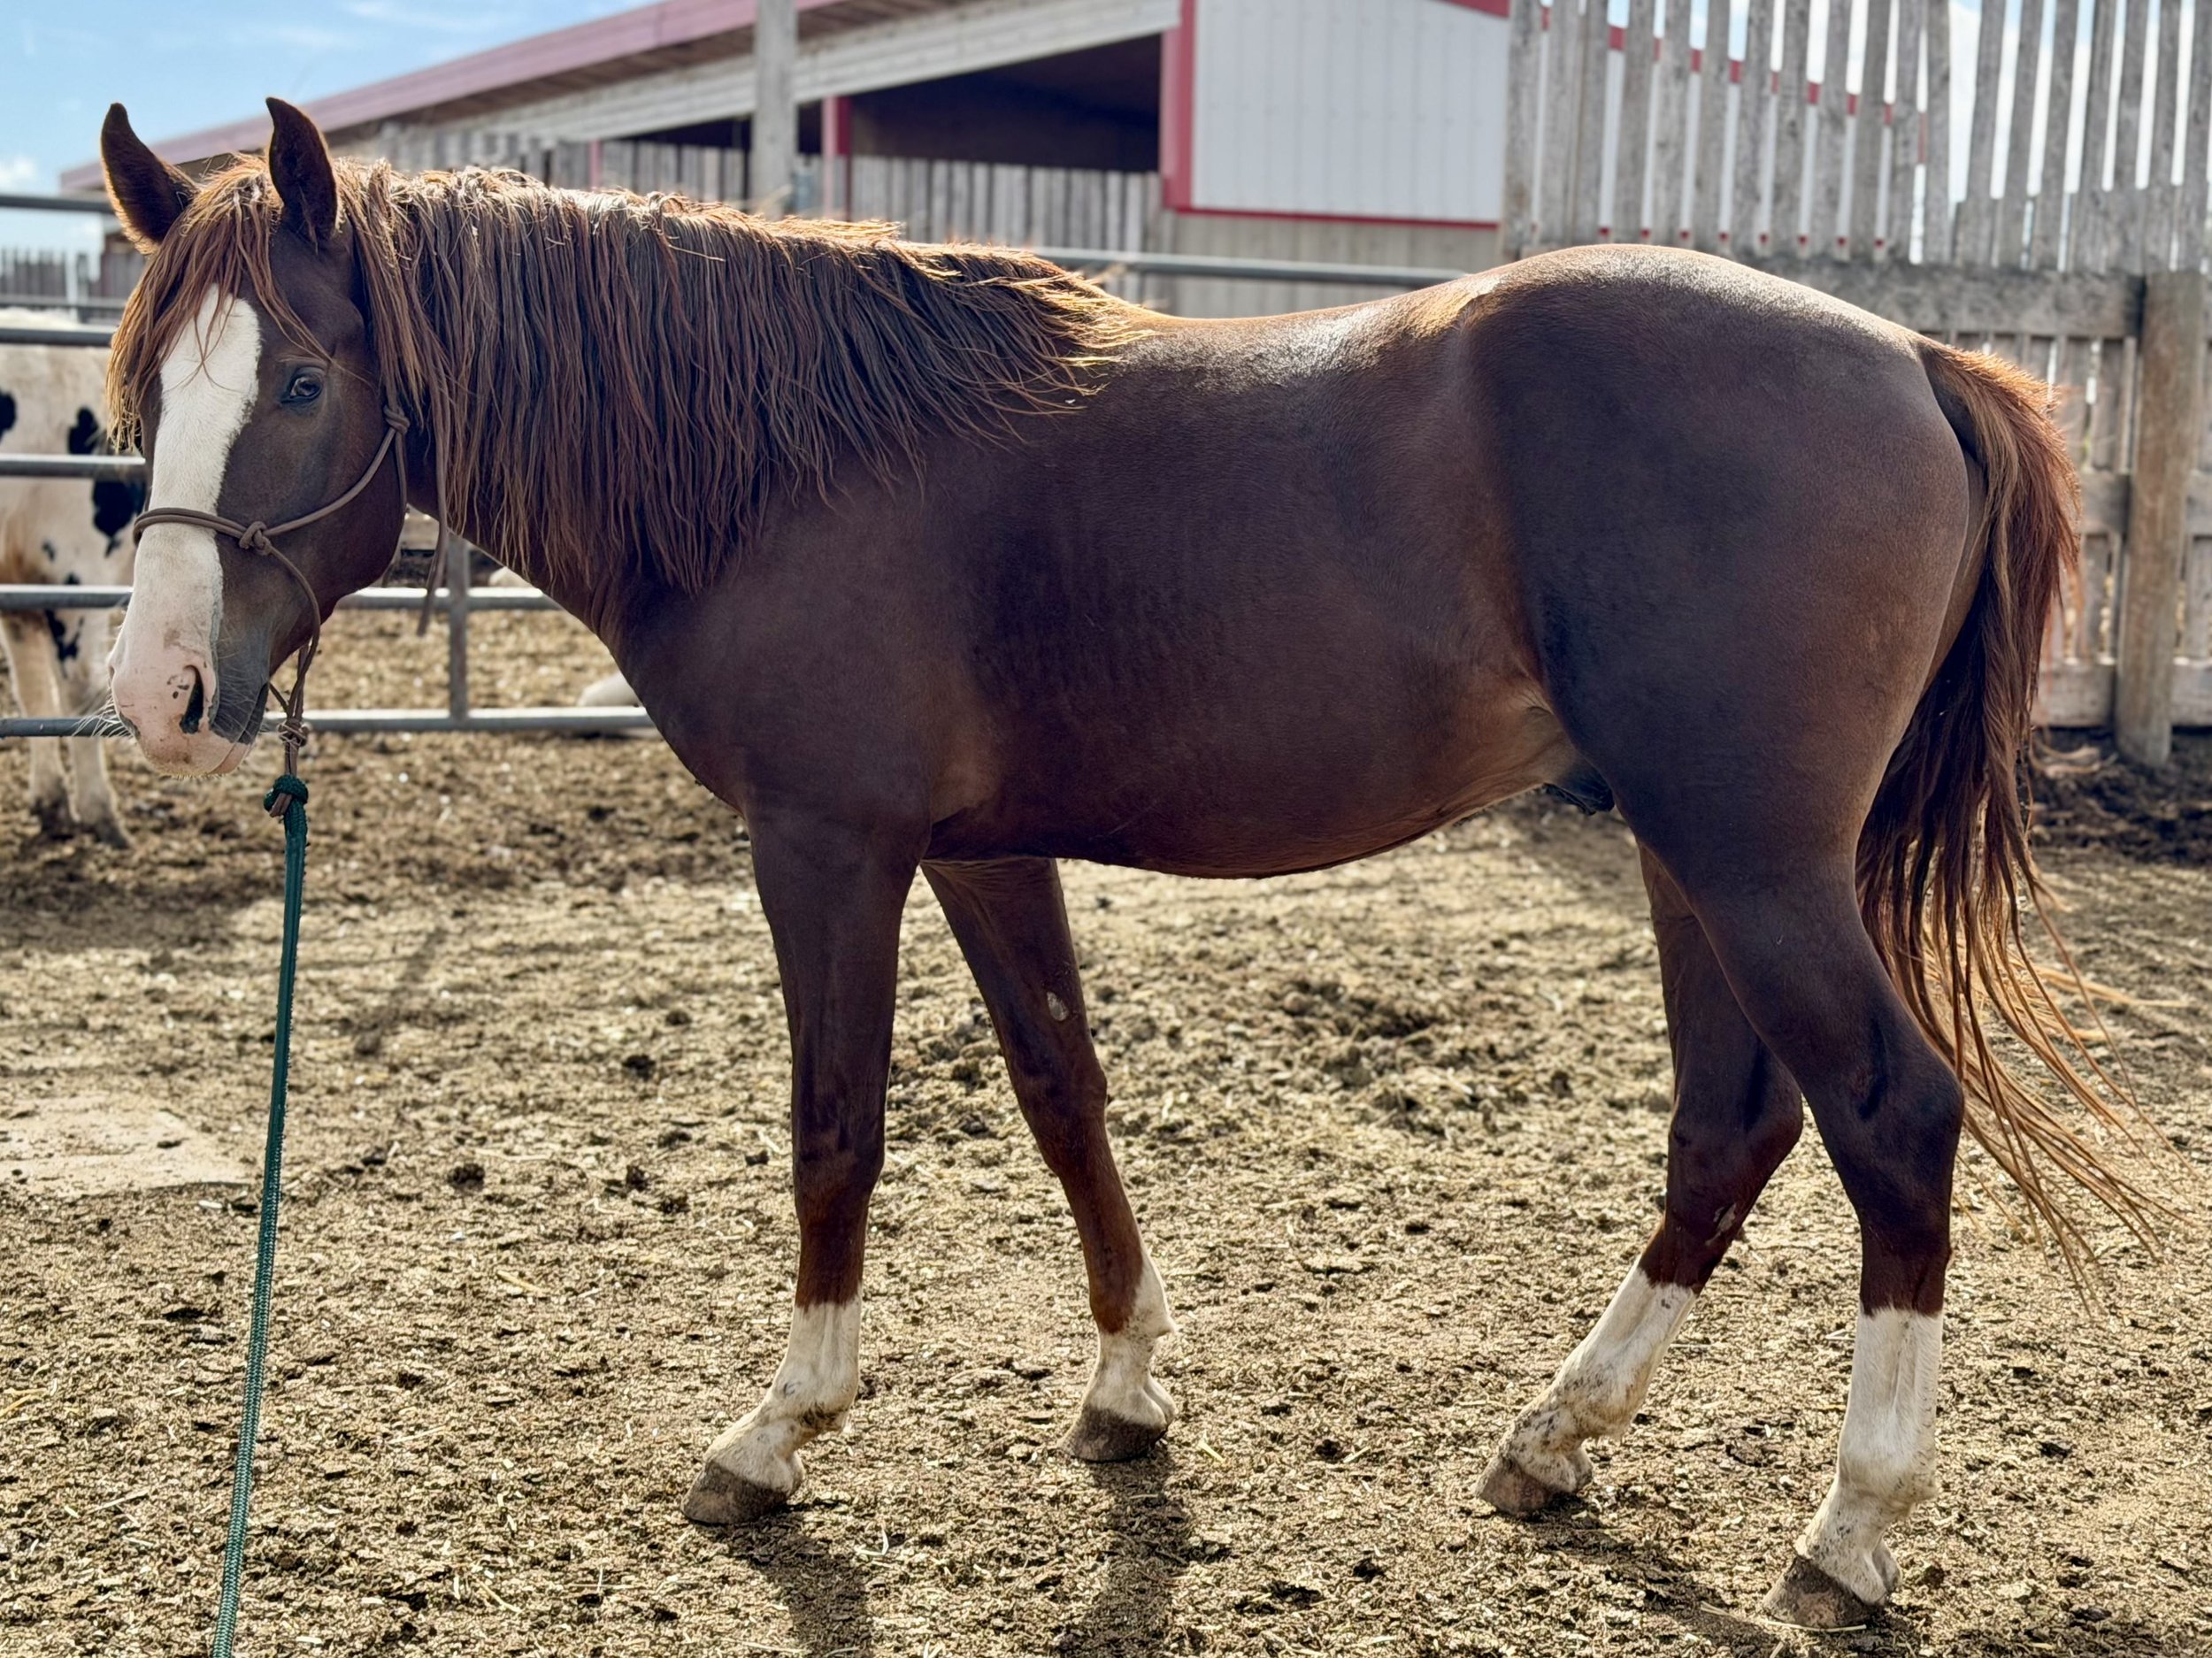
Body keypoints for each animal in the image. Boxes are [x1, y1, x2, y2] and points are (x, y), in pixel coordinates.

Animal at [0, 312, 140, 844]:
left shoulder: (21, 589)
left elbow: (33, 693)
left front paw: (51, 800)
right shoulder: (76, 573)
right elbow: (82, 690)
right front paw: (99, 809)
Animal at [95, 99, 2149, 1629]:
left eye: (298, 380)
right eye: (140, 391)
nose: (161, 696)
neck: (787, 465)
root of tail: (1913, 354)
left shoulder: (826, 843)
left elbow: (834, 1121)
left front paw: (783, 1423)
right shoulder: (986, 852)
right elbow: (1061, 1093)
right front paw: (1127, 1384)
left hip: (1752, 854)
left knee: (1889, 1117)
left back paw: (1848, 1522)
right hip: (1684, 851)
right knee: (1731, 1125)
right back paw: (1557, 1432)